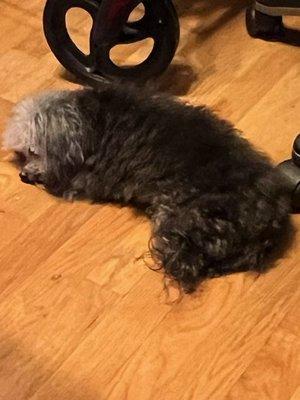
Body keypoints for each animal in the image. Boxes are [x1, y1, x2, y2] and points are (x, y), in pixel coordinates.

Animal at [2, 83, 292, 292]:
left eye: (33, 152)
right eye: (22, 154)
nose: (22, 176)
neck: (88, 122)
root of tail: (271, 217)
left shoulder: (88, 177)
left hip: (179, 218)